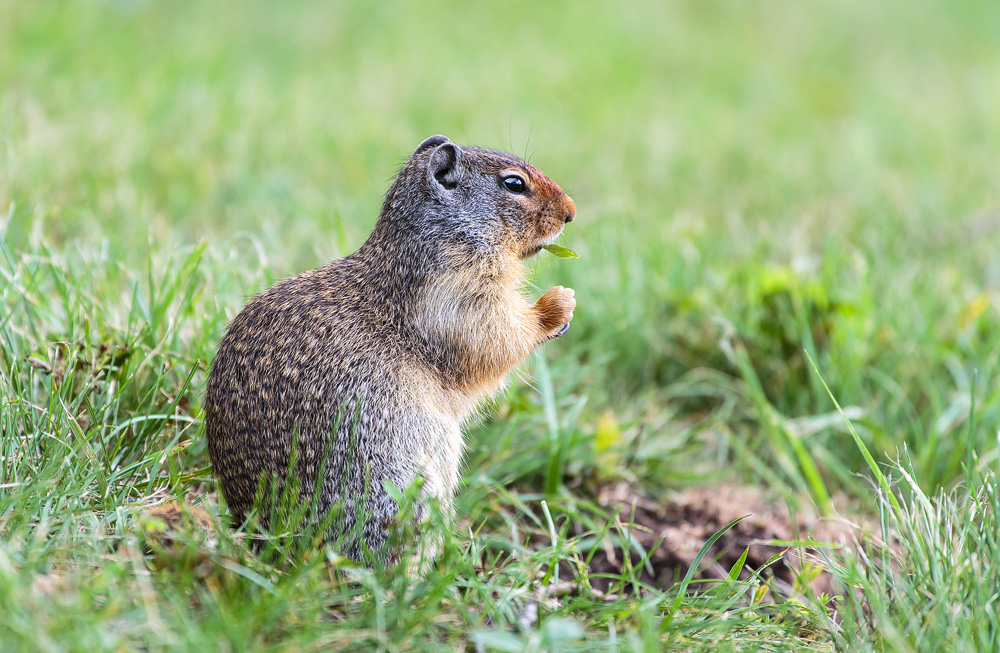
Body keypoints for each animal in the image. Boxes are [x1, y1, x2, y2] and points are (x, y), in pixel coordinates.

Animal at [204, 134, 580, 560]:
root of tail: (271, 543)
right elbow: (496, 337)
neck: (443, 237)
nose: (571, 212)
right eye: (514, 184)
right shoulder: (461, 295)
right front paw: (558, 305)